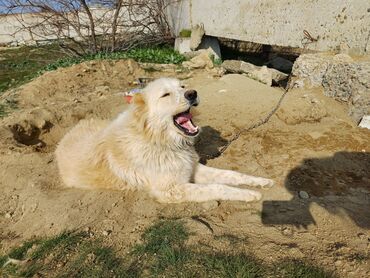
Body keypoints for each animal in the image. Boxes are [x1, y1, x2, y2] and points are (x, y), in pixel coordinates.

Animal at [55, 77, 274, 203]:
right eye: (166, 94)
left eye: (183, 86)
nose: (192, 93)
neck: (162, 141)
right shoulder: (170, 190)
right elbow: (218, 186)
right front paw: (249, 195)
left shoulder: (192, 168)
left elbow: (231, 174)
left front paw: (260, 182)